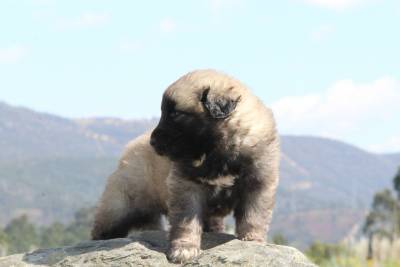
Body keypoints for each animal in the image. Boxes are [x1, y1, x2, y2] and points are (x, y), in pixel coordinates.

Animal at [91, 69, 280, 264]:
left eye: (175, 113)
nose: (153, 141)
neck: (219, 150)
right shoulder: (187, 187)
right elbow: (186, 223)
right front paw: (185, 249)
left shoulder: (258, 182)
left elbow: (254, 214)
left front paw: (252, 238)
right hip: (120, 204)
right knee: (105, 223)